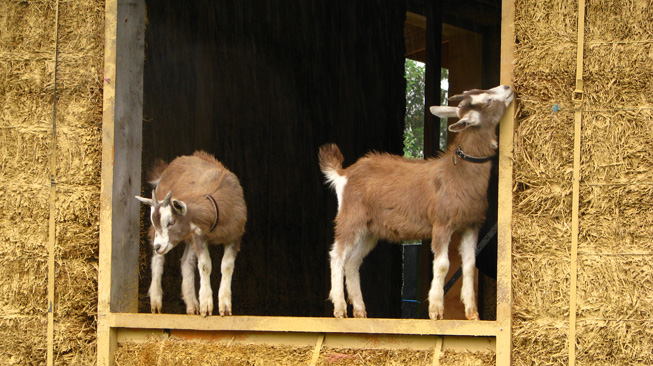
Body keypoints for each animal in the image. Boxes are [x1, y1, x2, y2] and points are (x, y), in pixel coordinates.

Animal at [135, 150, 244, 316]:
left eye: (171, 222)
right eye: (155, 221)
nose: (157, 246)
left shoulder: (235, 235)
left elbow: (227, 266)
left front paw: (224, 306)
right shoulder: (199, 236)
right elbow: (205, 265)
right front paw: (206, 305)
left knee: (186, 261)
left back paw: (192, 305)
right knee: (159, 260)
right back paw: (156, 301)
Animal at [318, 84, 512, 318]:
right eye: (488, 100)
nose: (507, 87)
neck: (457, 173)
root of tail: (343, 174)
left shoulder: (471, 225)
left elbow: (469, 265)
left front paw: (472, 314)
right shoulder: (441, 224)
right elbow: (442, 265)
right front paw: (436, 311)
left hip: (370, 230)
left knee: (353, 262)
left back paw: (360, 311)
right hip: (351, 218)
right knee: (337, 255)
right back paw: (339, 309)